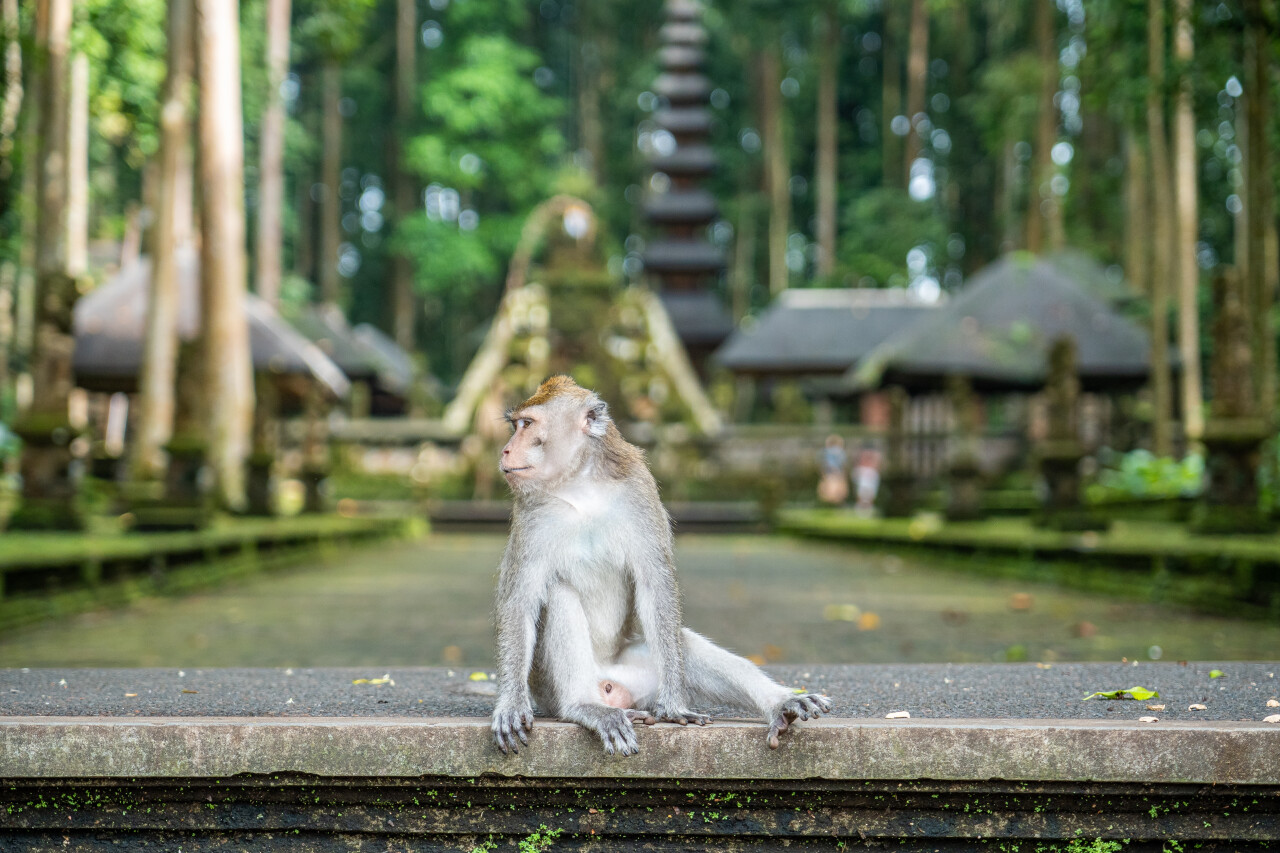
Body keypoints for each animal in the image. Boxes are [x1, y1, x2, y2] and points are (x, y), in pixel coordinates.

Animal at [491, 375, 831, 756]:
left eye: (527, 424)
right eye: (517, 425)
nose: (506, 450)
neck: (581, 486)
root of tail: (612, 687)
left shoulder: (639, 491)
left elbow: (656, 588)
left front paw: (674, 706)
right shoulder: (531, 514)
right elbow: (520, 601)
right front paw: (511, 705)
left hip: (640, 670)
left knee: (684, 643)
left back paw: (780, 703)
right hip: (552, 687)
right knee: (559, 594)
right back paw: (585, 706)